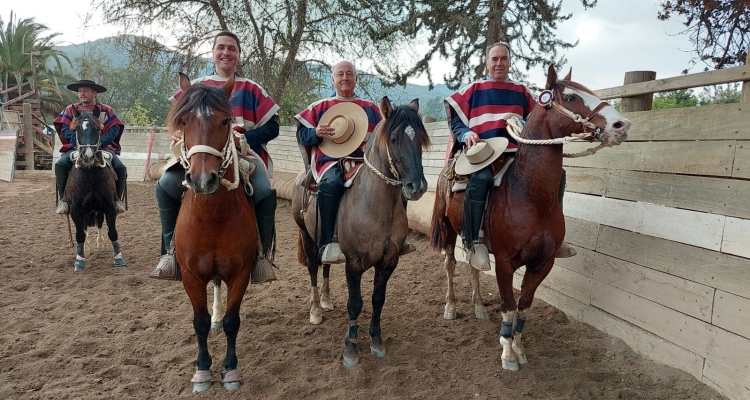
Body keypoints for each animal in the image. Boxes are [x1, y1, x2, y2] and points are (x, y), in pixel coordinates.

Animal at [64, 104, 126, 270]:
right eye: (77, 129)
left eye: (98, 129)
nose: (87, 156)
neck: (90, 176)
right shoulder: (75, 209)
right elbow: (80, 234)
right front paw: (80, 259)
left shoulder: (110, 207)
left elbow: (113, 232)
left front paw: (118, 257)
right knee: (84, 229)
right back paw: (86, 248)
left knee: (98, 222)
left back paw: (99, 244)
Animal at [170, 73, 258, 392]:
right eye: (184, 122)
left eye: (224, 122)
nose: (202, 180)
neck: (213, 218)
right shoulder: (190, 275)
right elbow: (200, 322)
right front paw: (203, 370)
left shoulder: (241, 273)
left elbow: (233, 321)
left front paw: (230, 370)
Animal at [296, 96, 434, 366]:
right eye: (394, 139)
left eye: (421, 139)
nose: (417, 187)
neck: (374, 205)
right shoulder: (354, 264)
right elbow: (355, 304)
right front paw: (351, 348)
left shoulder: (389, 262)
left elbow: (377, 300)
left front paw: (376, 341)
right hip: (307, 237)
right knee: (314, 269)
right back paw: (316, 309)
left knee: (325, 265)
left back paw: (326, 301)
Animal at [428, 64, 636, 370]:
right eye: (571, 97)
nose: (621, 125)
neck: (529, 195)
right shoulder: (504, 263)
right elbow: (508, 306)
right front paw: (507, 352)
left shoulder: (543, 263)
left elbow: (523, 306)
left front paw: (519, 345)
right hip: (447, 230)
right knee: (450, 265)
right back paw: (451, 307)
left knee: (474, 266)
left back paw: (479, 307)